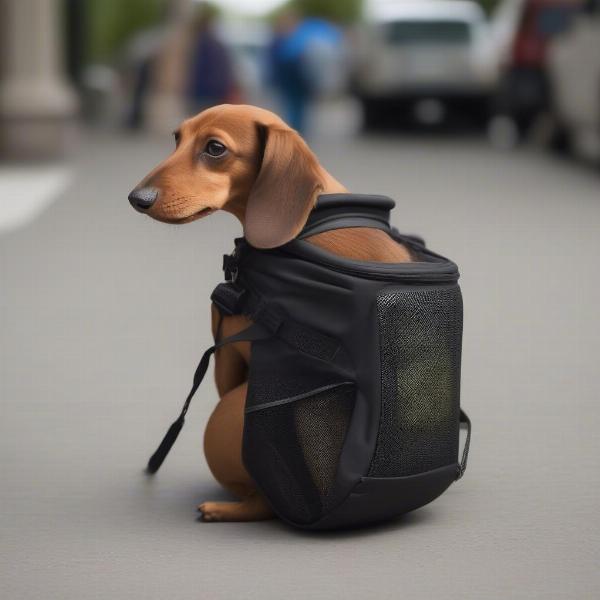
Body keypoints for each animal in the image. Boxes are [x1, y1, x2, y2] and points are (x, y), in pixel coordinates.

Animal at [129, 105, 412, 524]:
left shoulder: (227, 357)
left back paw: (221, 509)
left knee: (261, 503)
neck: (313, 217)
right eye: (176, 138)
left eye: (215, 148)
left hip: (226, 414)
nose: (137, 198)